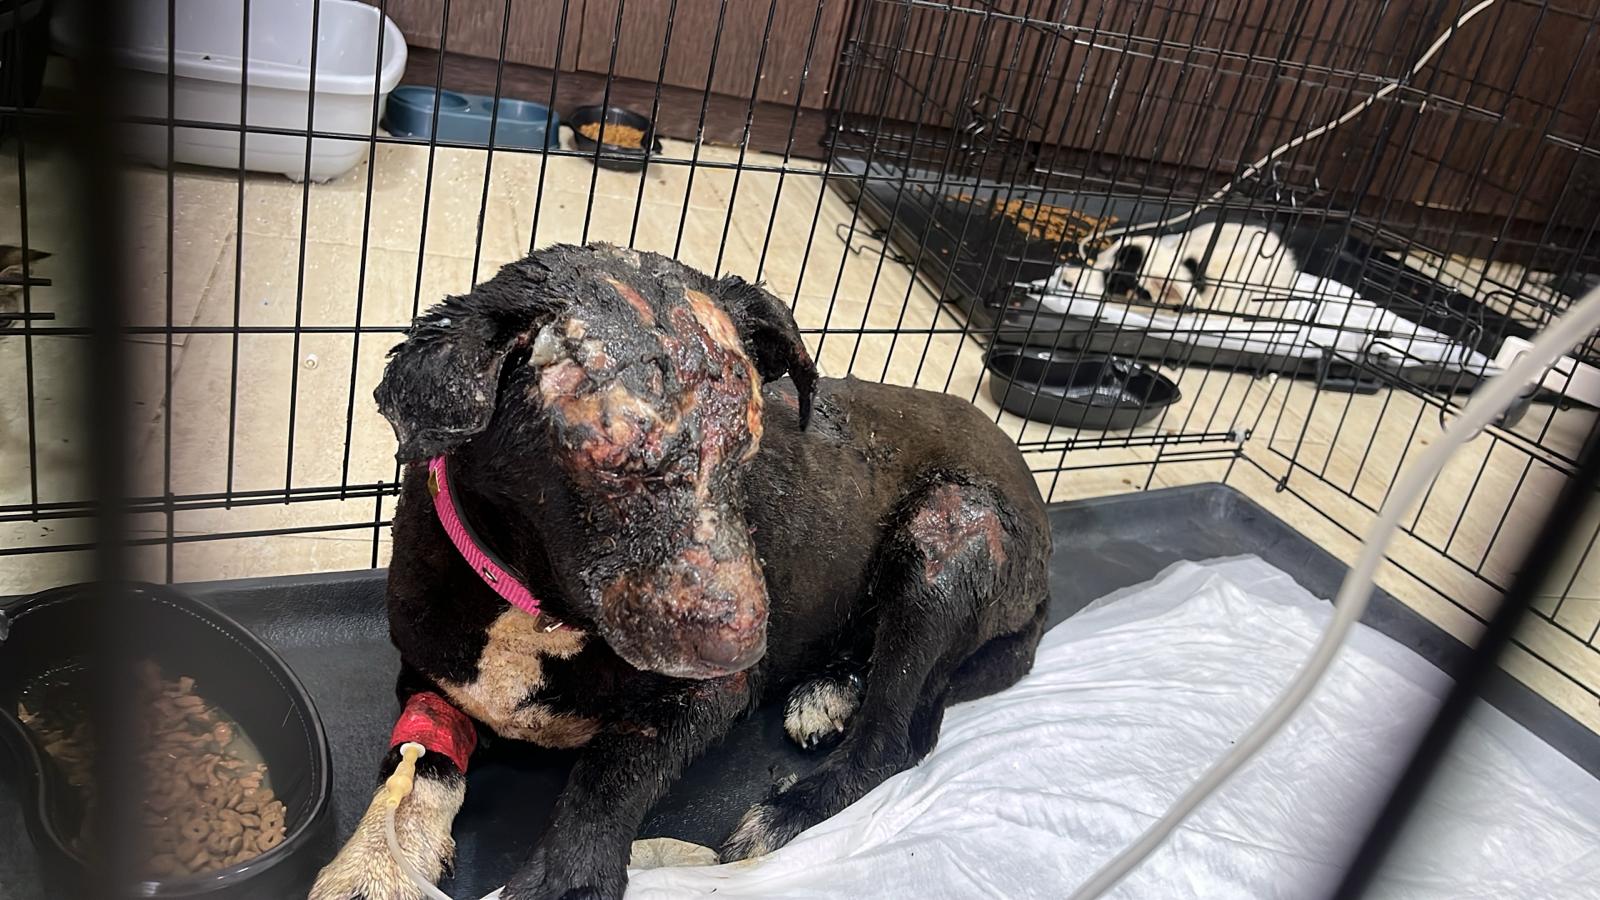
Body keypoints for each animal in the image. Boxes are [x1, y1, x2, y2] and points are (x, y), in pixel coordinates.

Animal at [309, 243, 1053, 900]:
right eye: (617, 463)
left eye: (746, 449)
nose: (749, 648)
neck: (537, 614)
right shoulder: (431, 681)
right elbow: (417, 772)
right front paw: (376, 866)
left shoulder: (705, 699)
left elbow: (611, 773)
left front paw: (568, 877)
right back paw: (831, 690)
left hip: (950, 534)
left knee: (893, 741)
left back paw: (790, 810)